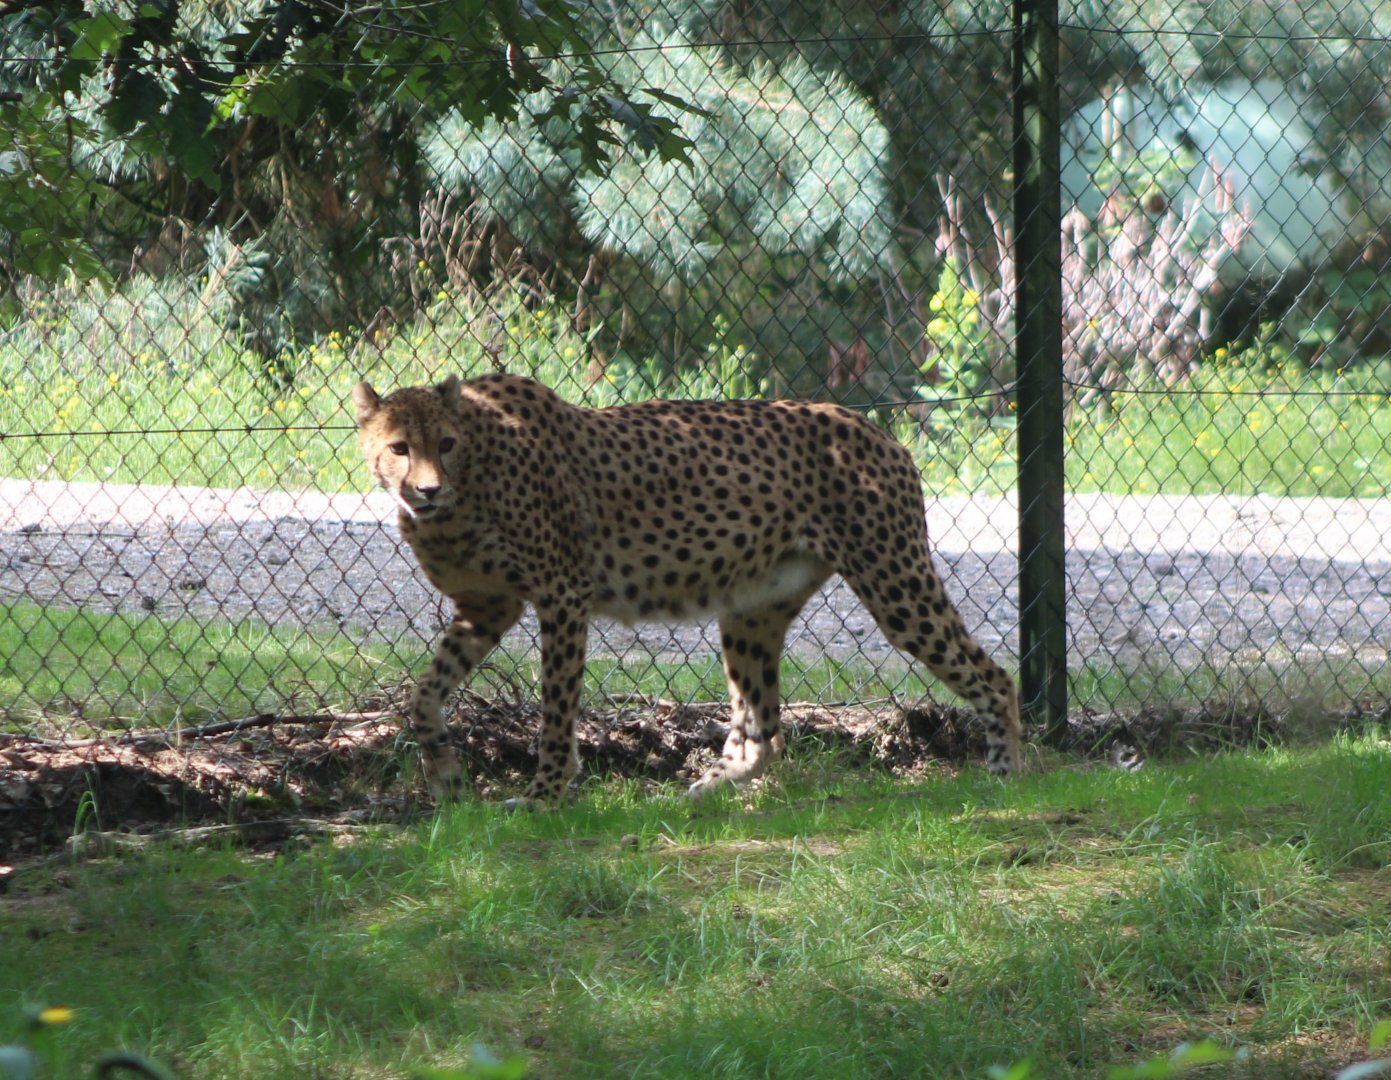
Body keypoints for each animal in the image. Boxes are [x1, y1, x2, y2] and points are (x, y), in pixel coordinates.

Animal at [352, 371, 1023, 804]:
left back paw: (1006, 776)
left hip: (894, 584)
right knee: (762, 732)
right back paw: (695, 795)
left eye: (445, 444)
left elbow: (555, 708)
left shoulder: (562, 596)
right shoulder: (487, 606)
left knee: (994, 677)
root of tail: (870, 423)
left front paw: (545, 793)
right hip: (751, 608)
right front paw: (445, 774)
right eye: (398, 447)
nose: (427, 489)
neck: (467, 487)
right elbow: (423, 696)